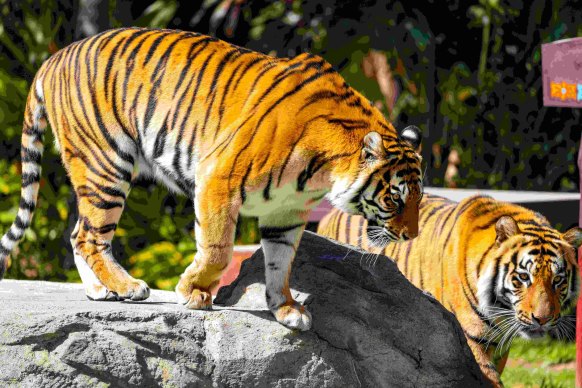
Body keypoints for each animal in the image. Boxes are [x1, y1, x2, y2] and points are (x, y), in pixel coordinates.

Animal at [0, 27, 424, 330]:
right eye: (394, 198)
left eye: (419, 199)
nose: (411, 236)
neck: (321, 173)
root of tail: (54, 56)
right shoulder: (219, 181)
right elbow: (219, 249)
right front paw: (193, 292)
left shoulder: (285, 212)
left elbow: (281, 262)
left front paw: (286, 308)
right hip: (106, 164)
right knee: (90, 236)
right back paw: (128, 287)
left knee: (77, 233)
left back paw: (100, 291)